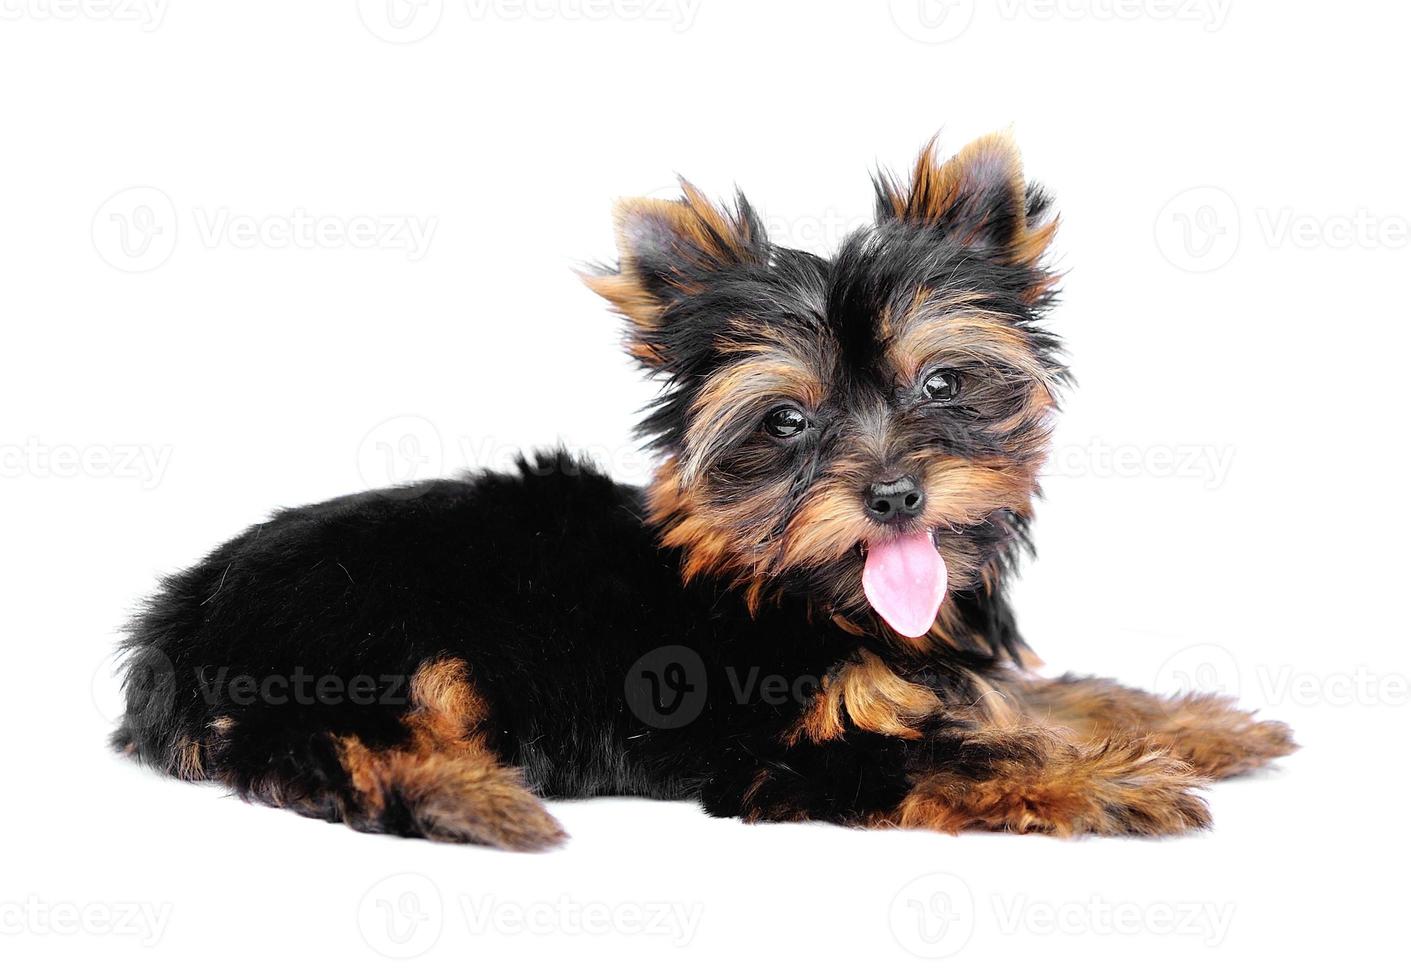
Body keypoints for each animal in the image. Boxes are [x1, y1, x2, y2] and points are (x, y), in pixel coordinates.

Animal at [115, 136, 1292, 851]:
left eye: (941, 384)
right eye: (786, 422)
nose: (893, 494)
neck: (800, 586)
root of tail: (174, 612)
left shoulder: (946, 665)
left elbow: (1026, 696)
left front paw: (1184, 721)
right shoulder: (781, 747)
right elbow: (953, 753)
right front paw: (1107, 779)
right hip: (366, 628)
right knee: (314, 742)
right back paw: (469, 791)